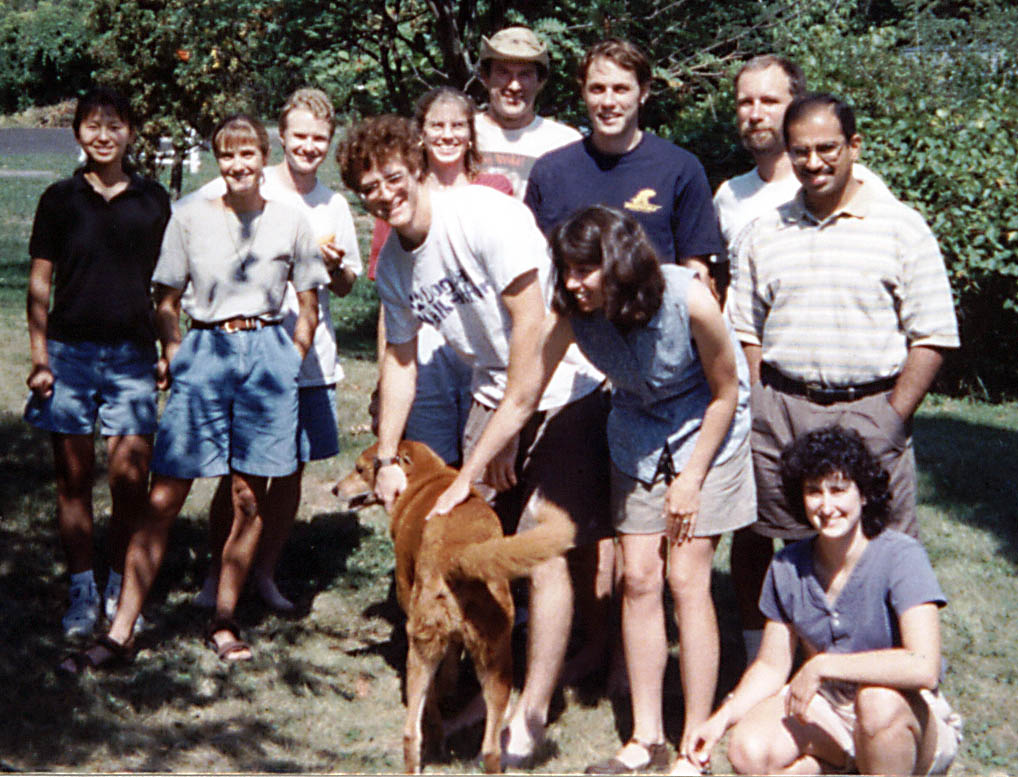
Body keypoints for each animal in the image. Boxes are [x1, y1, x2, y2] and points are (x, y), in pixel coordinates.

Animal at [333, 439, 574, 773]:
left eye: (359, 468)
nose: (335, 489)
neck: (428, 479)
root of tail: (459, 555)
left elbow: (434, 700)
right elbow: (450, 666)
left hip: (420, 655)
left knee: (412, 732)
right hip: (497, 665)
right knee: (489, 749)